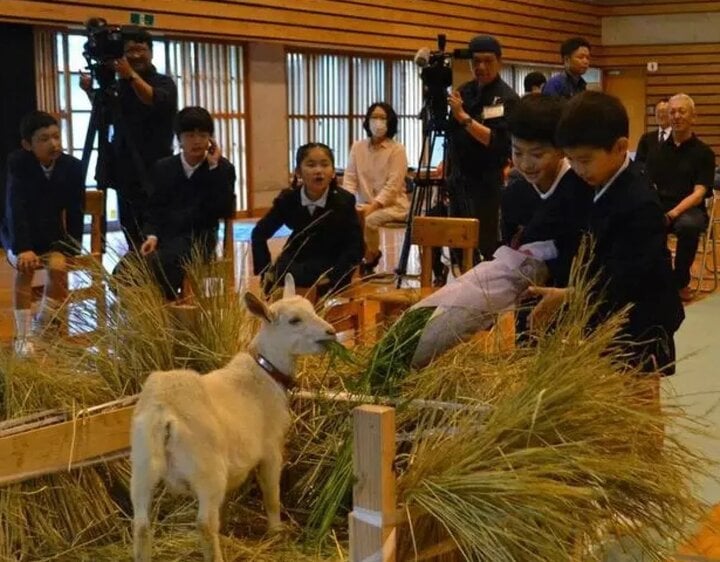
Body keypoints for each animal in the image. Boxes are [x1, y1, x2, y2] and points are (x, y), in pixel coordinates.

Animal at [130, 276, 338, 560]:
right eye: (294, 320)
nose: (331, 332)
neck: (265, 371)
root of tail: (163, 411)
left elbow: (227, 503)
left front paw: (228, 527)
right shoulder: (271, 449)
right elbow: (271, 494)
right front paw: (276, 530)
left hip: (142, 468)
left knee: (141, 525)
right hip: (207, 470)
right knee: (205, 525)